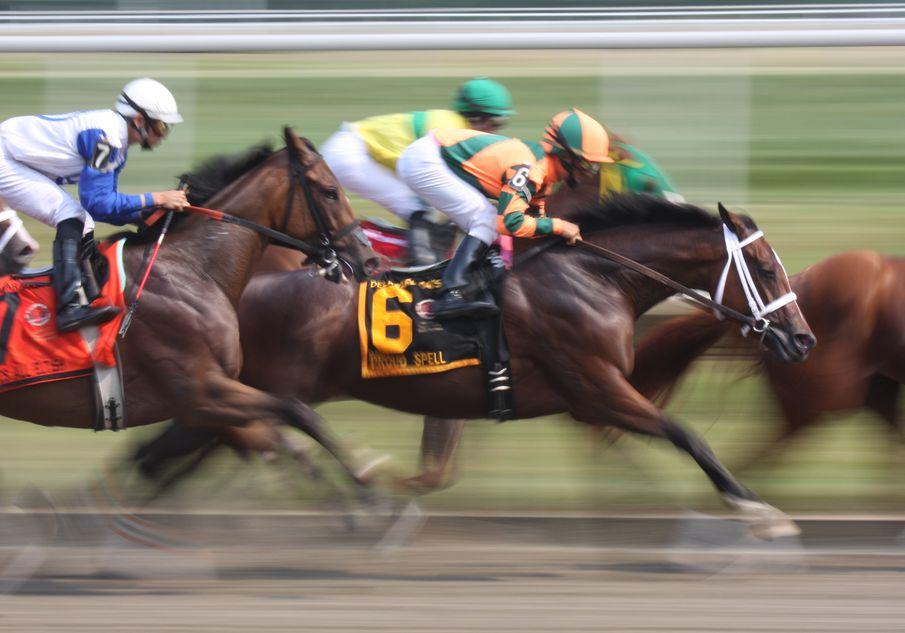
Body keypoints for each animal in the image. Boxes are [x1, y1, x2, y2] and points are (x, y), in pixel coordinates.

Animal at [0, 126, 378, 486]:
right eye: (330, 191)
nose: (370, 259)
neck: (192, 268)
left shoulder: (206, 405)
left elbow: (278, 429)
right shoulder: (203, 392)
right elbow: (294, 413)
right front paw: (365, 489)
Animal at [139, 194, 812, 540]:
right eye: (768, 270)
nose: (803, 341)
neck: (594, 277)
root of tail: (235, 284)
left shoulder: (586, 398)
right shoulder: (595, 386)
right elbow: (687, 434)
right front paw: (757, 510)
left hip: (237, 393)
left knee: (171, 454)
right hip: (249, 389)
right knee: (174, 452)